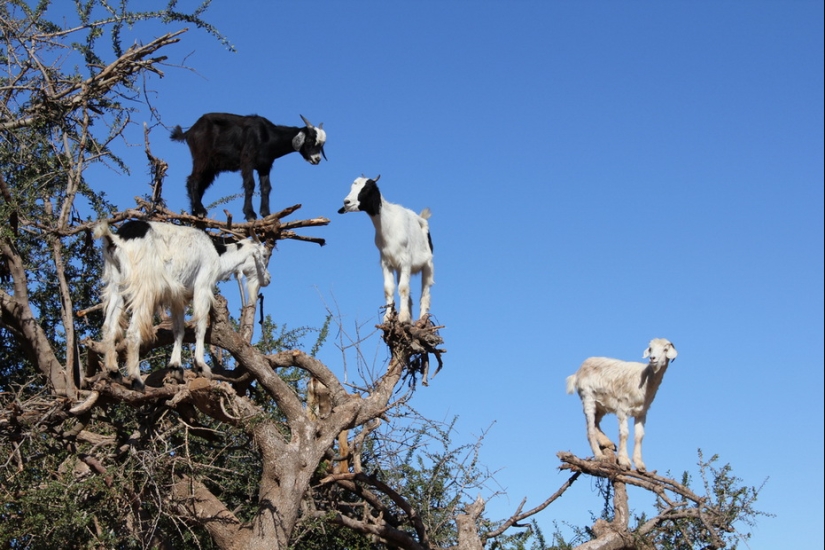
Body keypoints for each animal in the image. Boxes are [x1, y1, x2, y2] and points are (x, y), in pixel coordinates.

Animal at [93, 221, 272, 392]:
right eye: (264, 255)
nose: (268, 279)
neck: (217, 255)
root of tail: (116, 239)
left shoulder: (179, 297)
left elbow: (179, 330)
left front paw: (175, 366)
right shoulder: (203, 287)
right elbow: (200, 326)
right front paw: (201, 365)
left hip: (116, 287)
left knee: (109, 326)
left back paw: (113, 371)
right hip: (144, 287)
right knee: (132, 332)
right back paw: (136, 380)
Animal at [171, 113, 328, 221]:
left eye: (322, 144)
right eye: (309, 140)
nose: (317, 159)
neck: (267, 136)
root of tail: (190, 131)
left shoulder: (265, 165)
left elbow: (266, 187)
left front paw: (266, 213)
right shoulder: (247, 160)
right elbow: (250, 184)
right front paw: (250, 214)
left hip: (212, 167)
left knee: (200, 185)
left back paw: (195, 212)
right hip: (202, 158)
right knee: (193, 180)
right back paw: (199, 210)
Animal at [338, 176, 434, 324]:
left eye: (366, 189)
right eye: (352, 187)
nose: (346, 202)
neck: (388, 223)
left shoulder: (406, 261)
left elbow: (403, 288)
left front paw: (402, 317)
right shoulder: (386, 262)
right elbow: (389, 289)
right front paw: (389, 318)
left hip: (427, 265)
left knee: (425, 293)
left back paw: (423, 320)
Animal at [564, 338, 680, 472]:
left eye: (665, 349)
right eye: (650, 349)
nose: (652, 358)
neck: (645, 378)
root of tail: (577, 372)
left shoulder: (642, 412)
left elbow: (639, 436)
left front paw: (640, 465)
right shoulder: (622, 408)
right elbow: (624, 434)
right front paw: (624, 461)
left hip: (601, 404)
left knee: (596, 421)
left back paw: (607, 442)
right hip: (587, 397)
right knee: (590, 428)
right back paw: (600, 455)